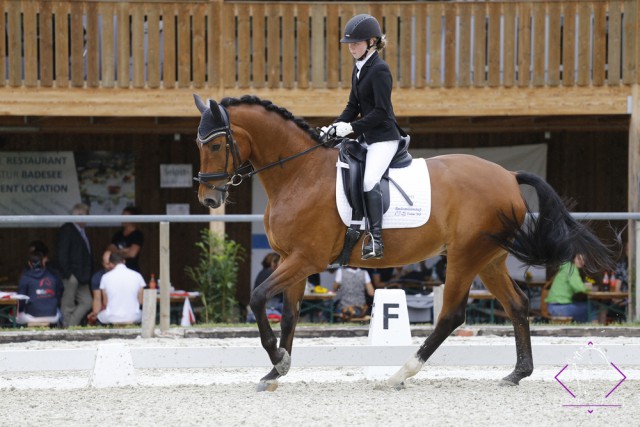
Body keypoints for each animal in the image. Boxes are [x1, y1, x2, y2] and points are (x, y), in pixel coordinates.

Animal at [191, 95, 616, 392]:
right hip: (490, 259)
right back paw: (517, 373)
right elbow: (291, 316)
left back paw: (400, 374)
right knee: (517, 305)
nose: (209, 199)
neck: (299, 173)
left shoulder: (306, 259)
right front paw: (275, 370)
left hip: (464, 256)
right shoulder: (288, 258)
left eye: (215, 146)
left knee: (451, 316)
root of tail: (508, 176)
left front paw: (277, 360)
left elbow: (259, 298)